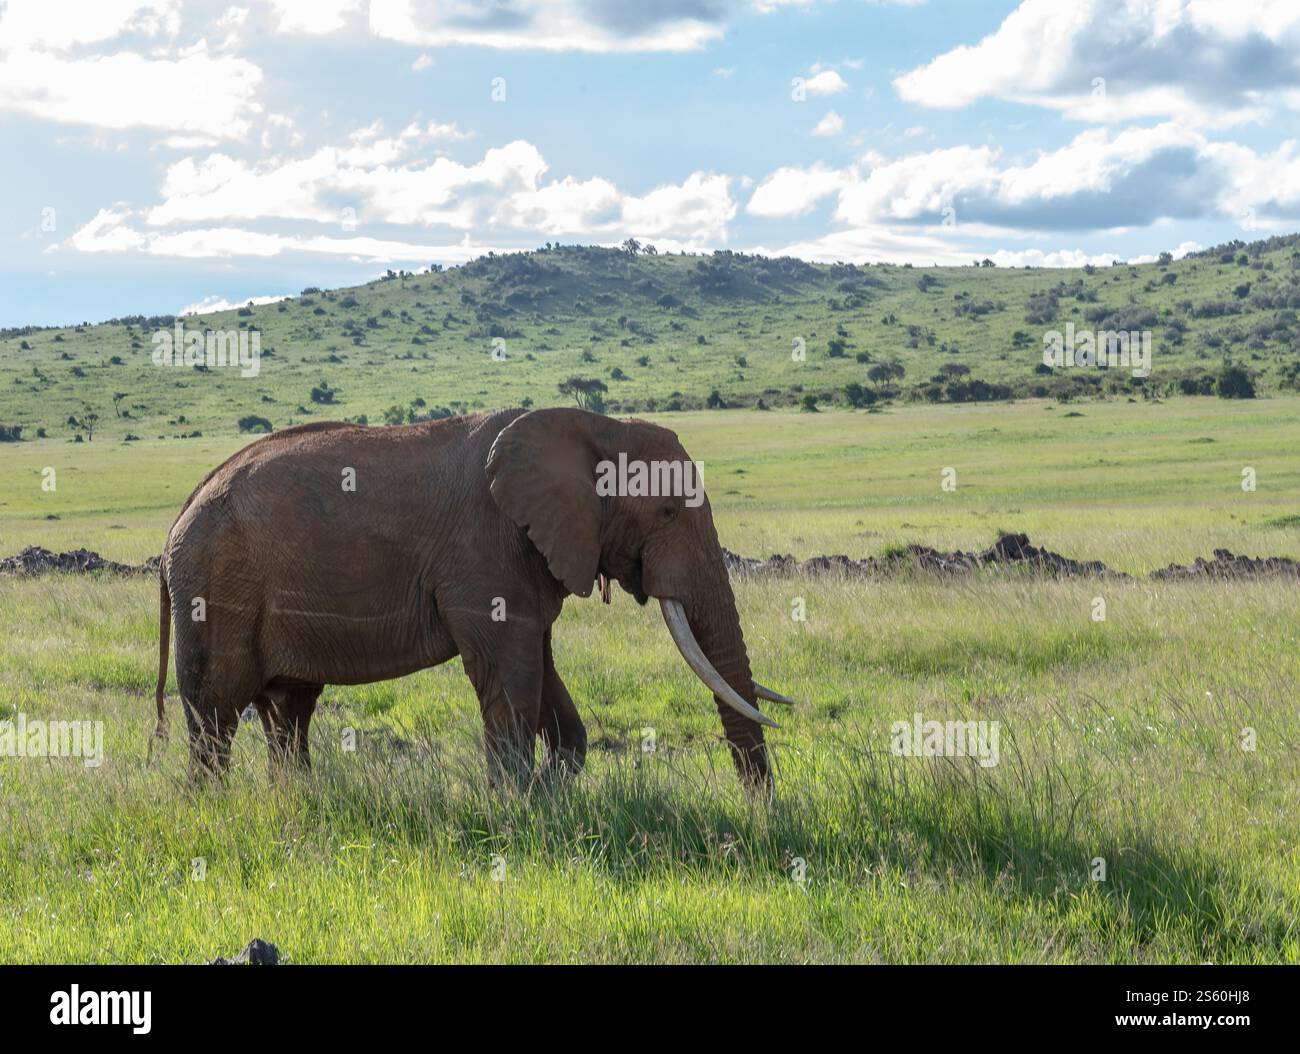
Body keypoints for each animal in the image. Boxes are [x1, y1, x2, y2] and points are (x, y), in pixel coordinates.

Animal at [152, 407, 794, 790]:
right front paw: (516, 812)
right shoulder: (487, 558)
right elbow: (512, 681)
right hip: (214, 589)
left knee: (288, 712)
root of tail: (178, 517)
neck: (592, 425)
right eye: (665, 512)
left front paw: (545, 798)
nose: (762, 811)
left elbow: (549, 689)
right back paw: (217, 812)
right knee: (215, 717)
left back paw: (296, 802)